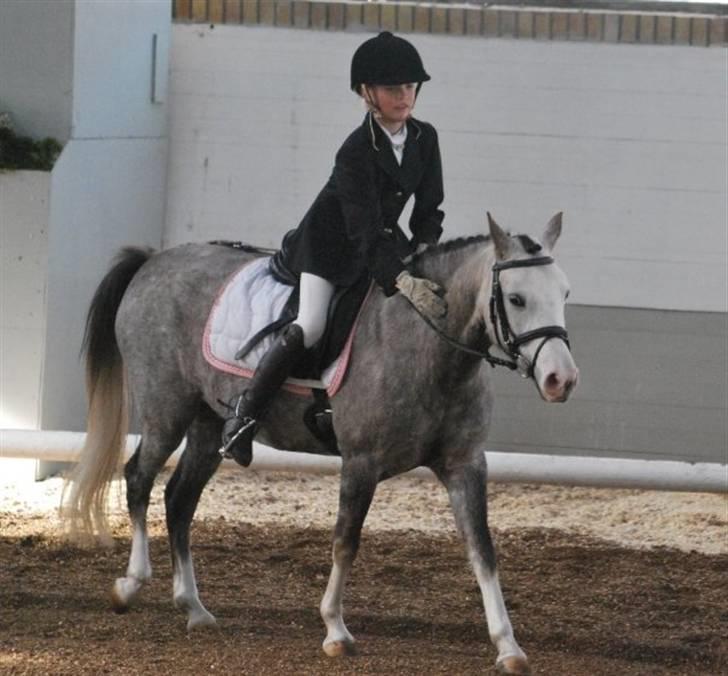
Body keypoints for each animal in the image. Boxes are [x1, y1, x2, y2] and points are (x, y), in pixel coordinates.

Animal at [64, 213, 578, 675]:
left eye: (565, 294)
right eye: (516, 298)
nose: (562, 380)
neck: (430, 349)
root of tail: (154, 261)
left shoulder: (464, 464)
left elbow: (482, 550)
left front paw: (508, 646)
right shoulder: (361, 462)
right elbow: (345, 541)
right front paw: (335, 630)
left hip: (209, 426)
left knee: (179, 500)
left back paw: (193, 607)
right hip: (165, 411)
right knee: (138, 479)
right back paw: (131, 584)